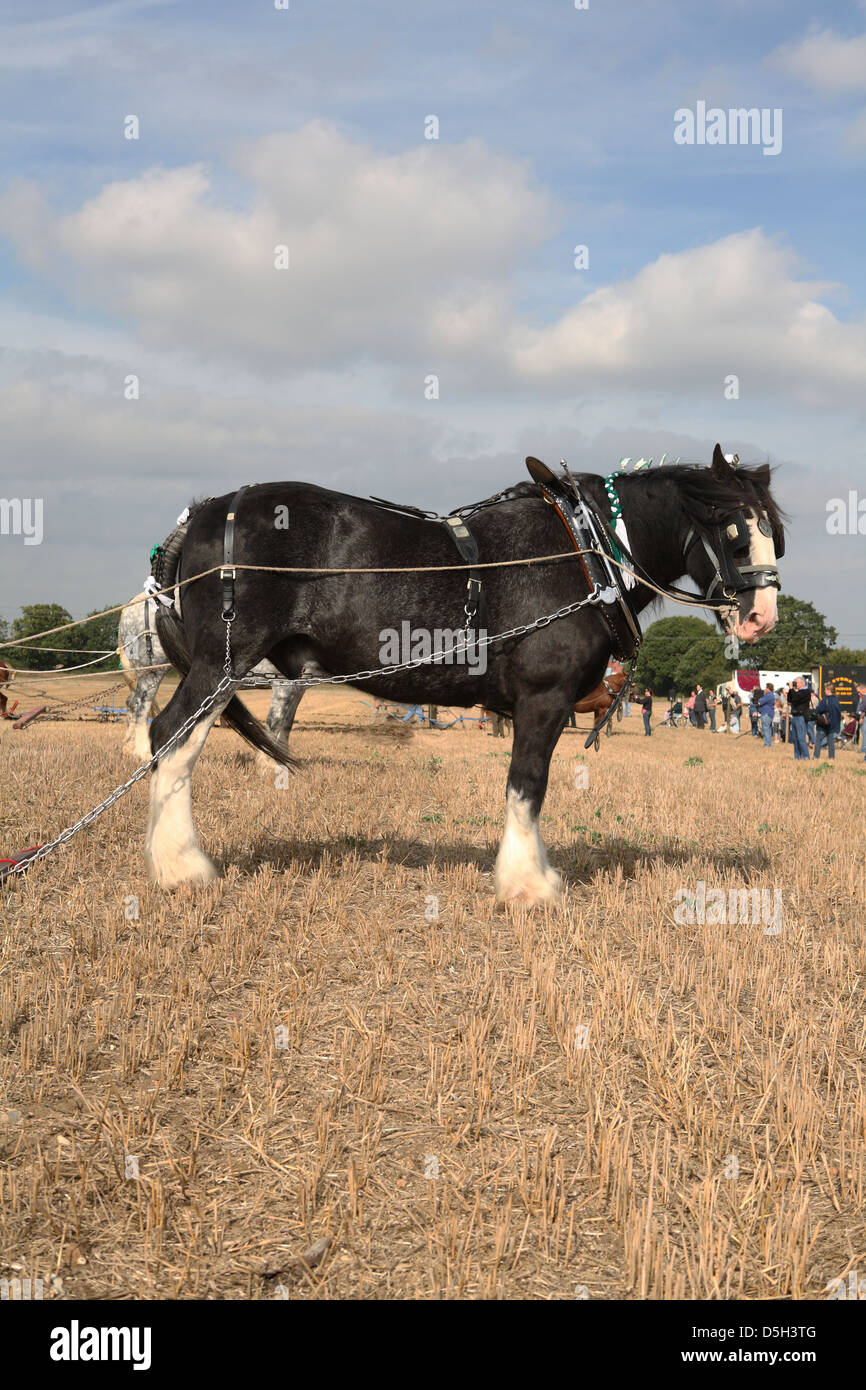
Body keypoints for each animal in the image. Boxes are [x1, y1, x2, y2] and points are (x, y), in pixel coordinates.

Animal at [147, 447, 783, 900]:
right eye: (731, 528)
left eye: (773, 531)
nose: (762, 617)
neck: (584, 552)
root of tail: (205, 511)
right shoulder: (543, 699)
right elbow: (526, 787)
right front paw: (529, 885)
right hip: (221, 663)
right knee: (170, 737)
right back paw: (181, 867)